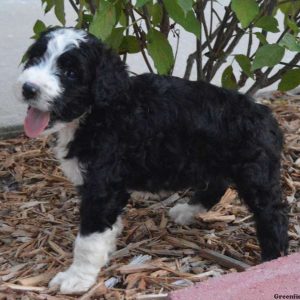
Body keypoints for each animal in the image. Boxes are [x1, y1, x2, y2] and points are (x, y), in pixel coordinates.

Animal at [17, 27, 290, 292]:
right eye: (35, 58)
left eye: (70, 72)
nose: (28, 88)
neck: (100, 110)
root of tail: (264, 113)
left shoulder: (102, 186)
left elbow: (88, 237)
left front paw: (77, 278)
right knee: (217, 185)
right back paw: (186, 211)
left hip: (255, 173)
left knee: (272, 213)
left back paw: (273, 260)